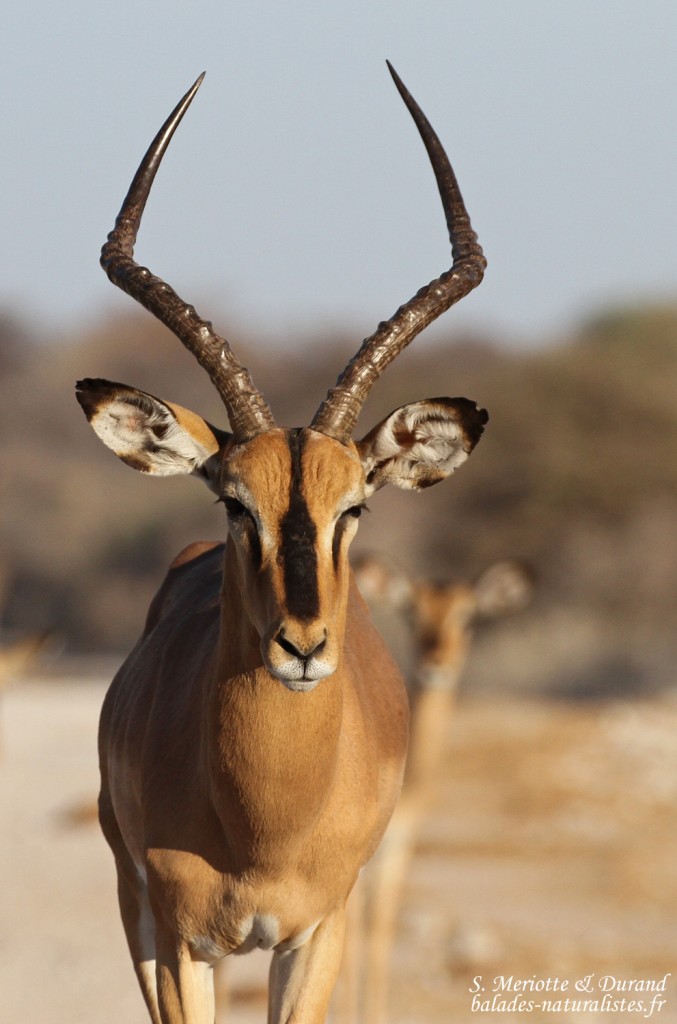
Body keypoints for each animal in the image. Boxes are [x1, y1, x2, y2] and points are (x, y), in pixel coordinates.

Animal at [76, 64, 487, 1024]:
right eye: (234, 502)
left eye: (355, 507)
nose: (300, 645)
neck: (263, 825)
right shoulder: (178, 939)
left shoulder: (315, 936)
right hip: (137, 909)